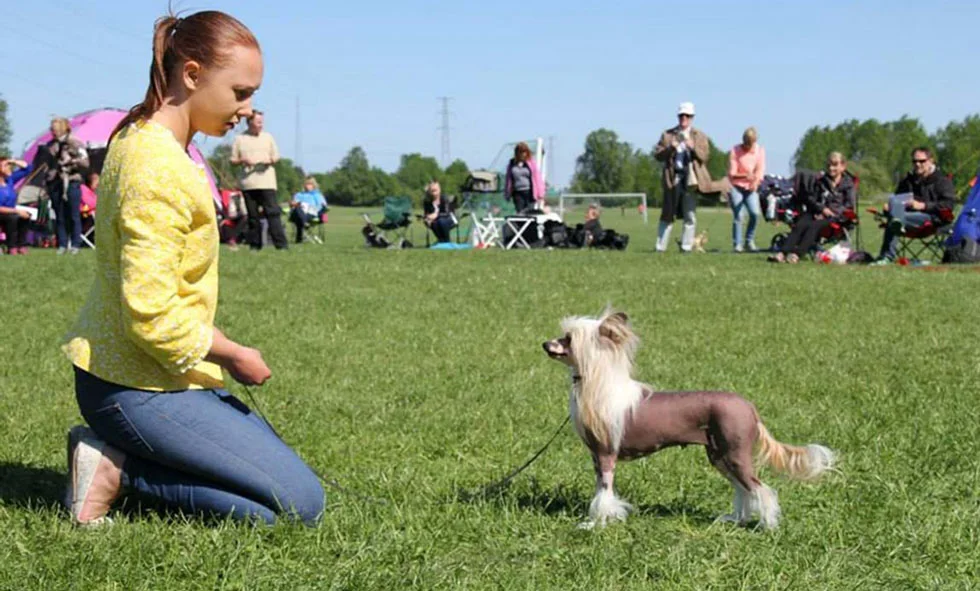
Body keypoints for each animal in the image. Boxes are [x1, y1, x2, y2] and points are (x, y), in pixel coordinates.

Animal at [544, 310, 836, 532]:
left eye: (567, 339)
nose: (545, 344)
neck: (601, 387)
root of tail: (750, 408)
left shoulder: (606, 455)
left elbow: (604, 494)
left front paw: (597, 524)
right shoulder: (597, 458)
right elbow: (600, 491)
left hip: (735, 453)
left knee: (758, 488)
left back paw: (768, 526)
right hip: (719, 455)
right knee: (742, 488)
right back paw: (736, 520)